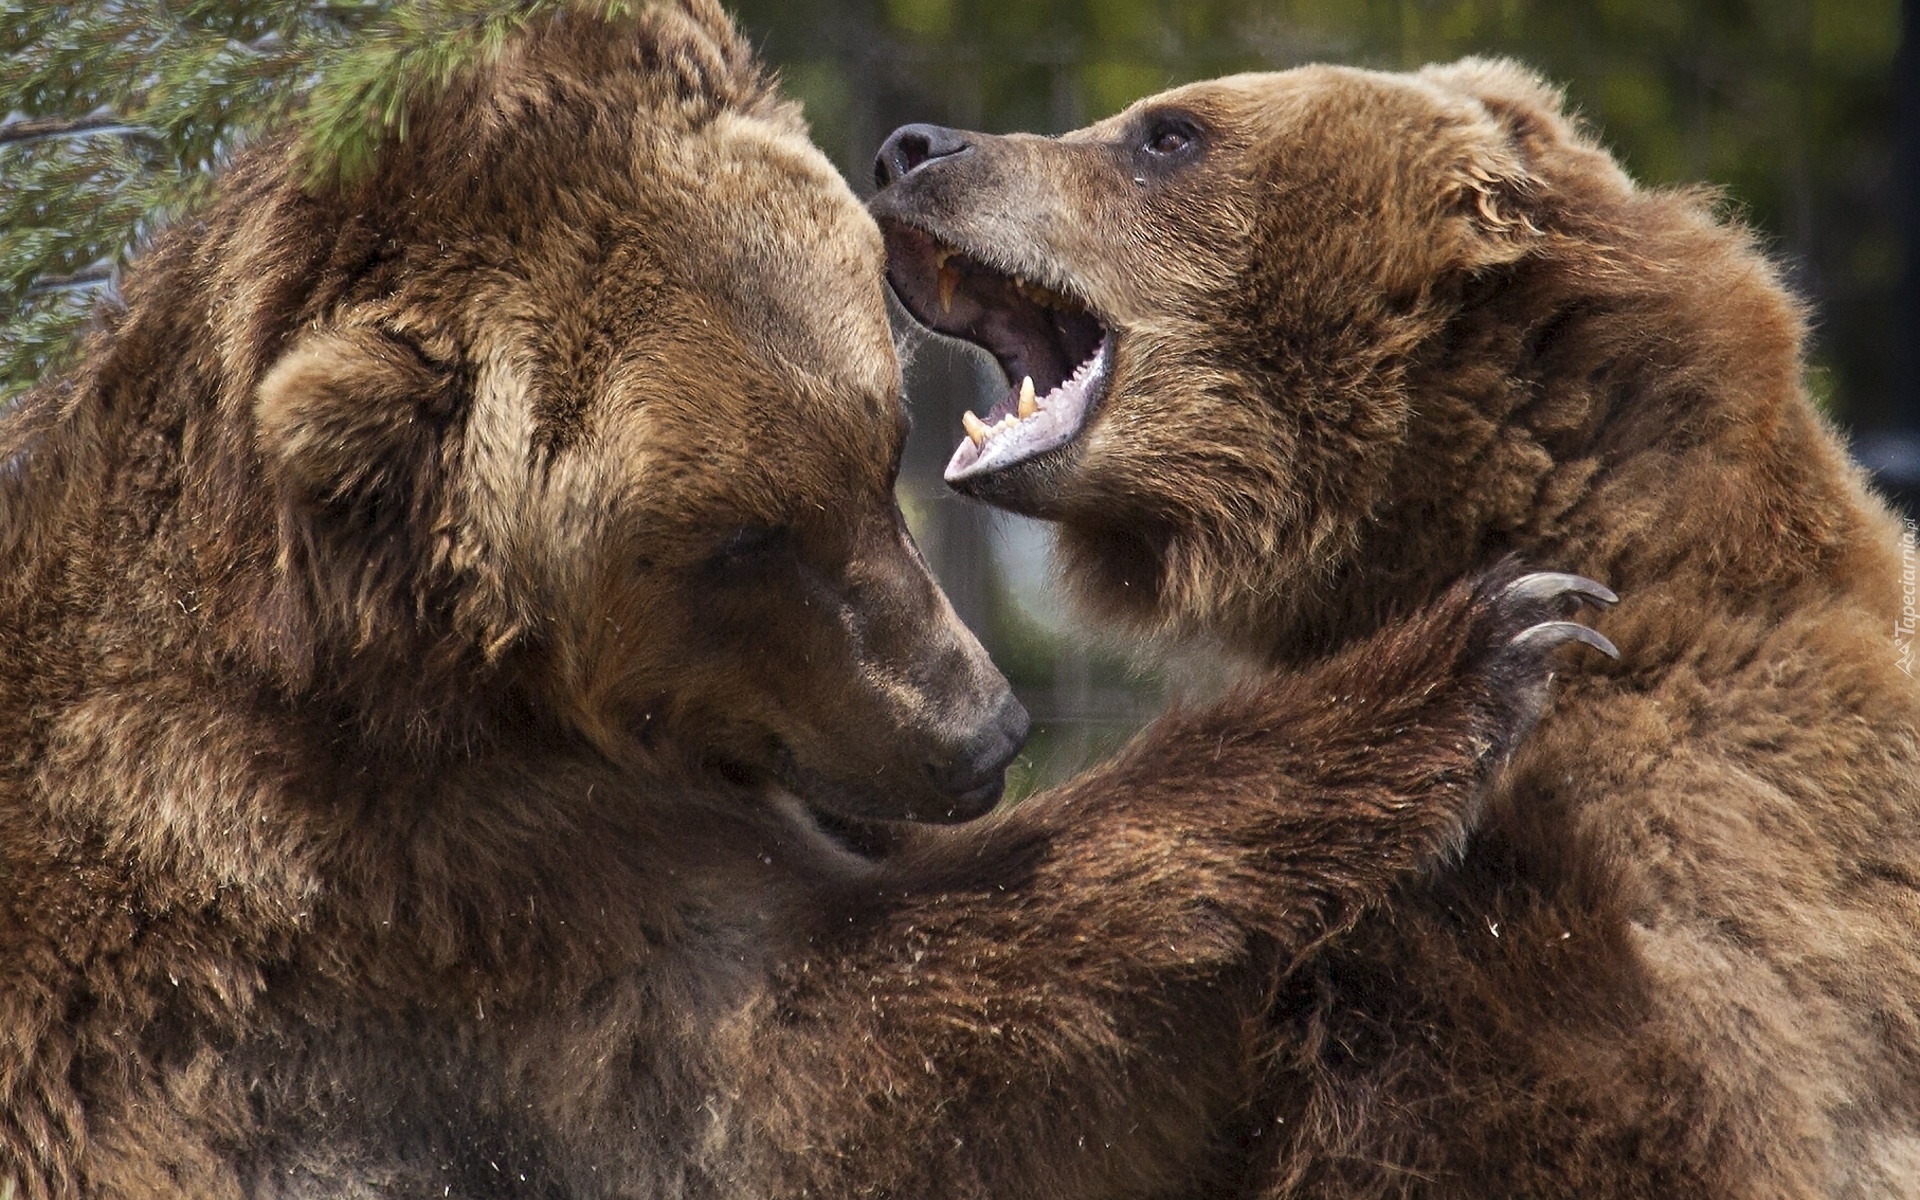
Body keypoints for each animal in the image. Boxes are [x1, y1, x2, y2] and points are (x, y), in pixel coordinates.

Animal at [0, 11, 1612, 1198]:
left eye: (877, 445)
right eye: (733, 543)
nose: (985, 735)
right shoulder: (423, 909)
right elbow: (851, 1068)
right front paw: (1481, 647)